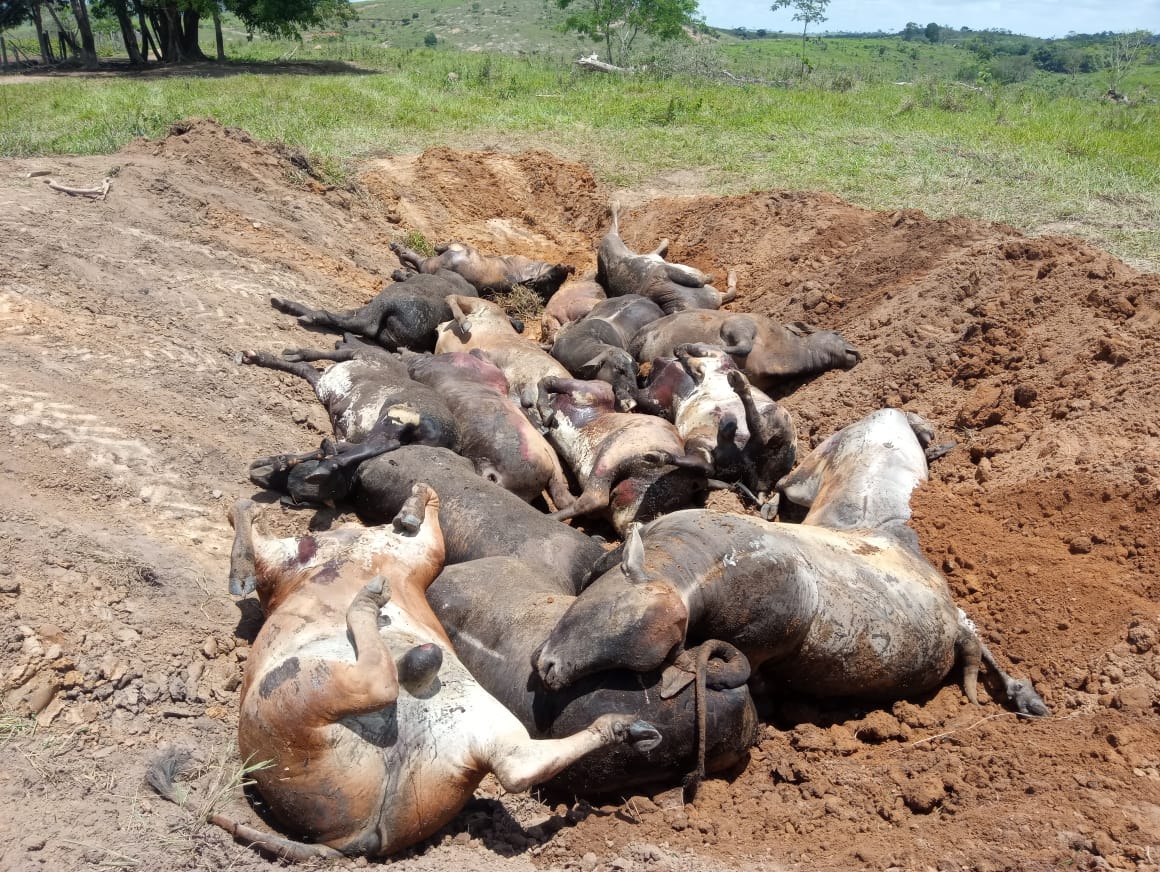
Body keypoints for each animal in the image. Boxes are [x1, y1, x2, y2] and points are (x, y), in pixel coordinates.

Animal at [533, 412, 1053, 718]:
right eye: (603, 606)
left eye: (621, 628)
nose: (549, 669)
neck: (705, 569)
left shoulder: (759, 643)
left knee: (977, 645)